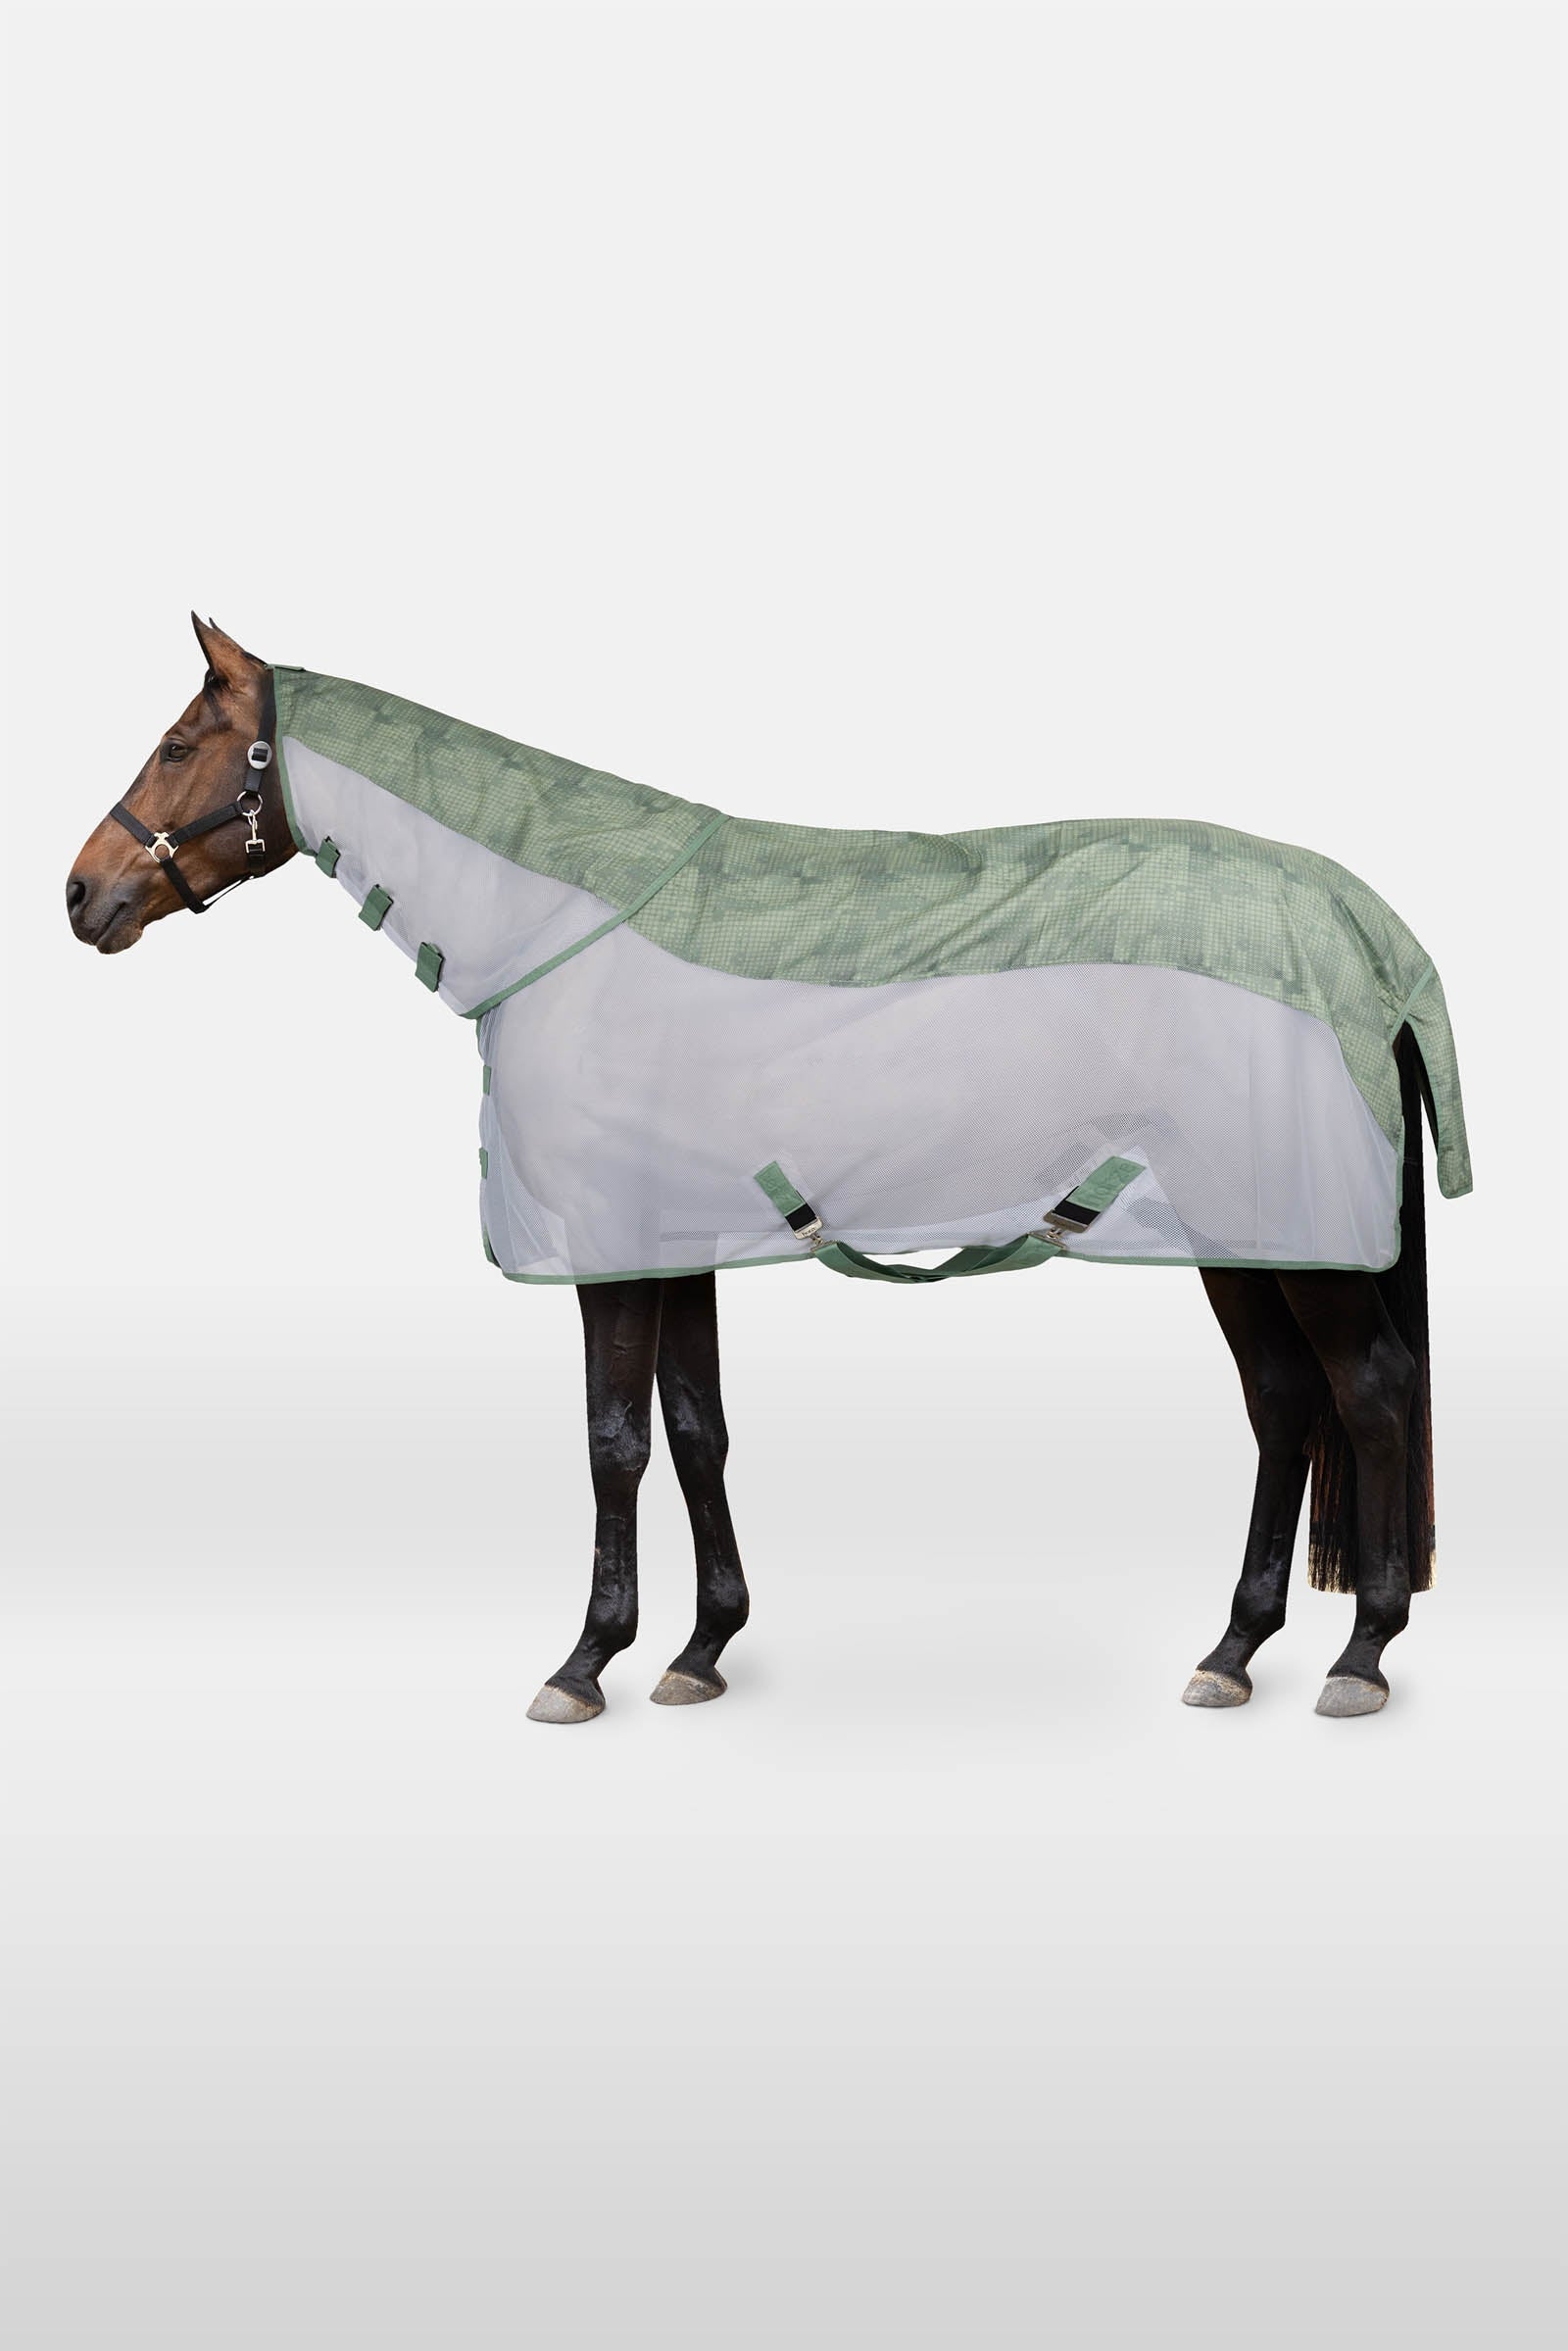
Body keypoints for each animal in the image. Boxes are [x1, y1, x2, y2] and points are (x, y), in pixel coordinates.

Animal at [66, 615, 1465, 1723]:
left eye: (181, 745)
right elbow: (697, 1429)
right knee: (1285, 1401)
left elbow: (614, 1442)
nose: (82, 894)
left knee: (1370, 1391)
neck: (565, 932)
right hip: (1239, 1235)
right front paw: (701, 1648)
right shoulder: (675, 1242)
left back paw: (1361, 1652)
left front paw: (585, 1661)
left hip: (1296, 1243)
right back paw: (1234, 1648)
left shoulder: (611, 1257)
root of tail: (1365, 928)